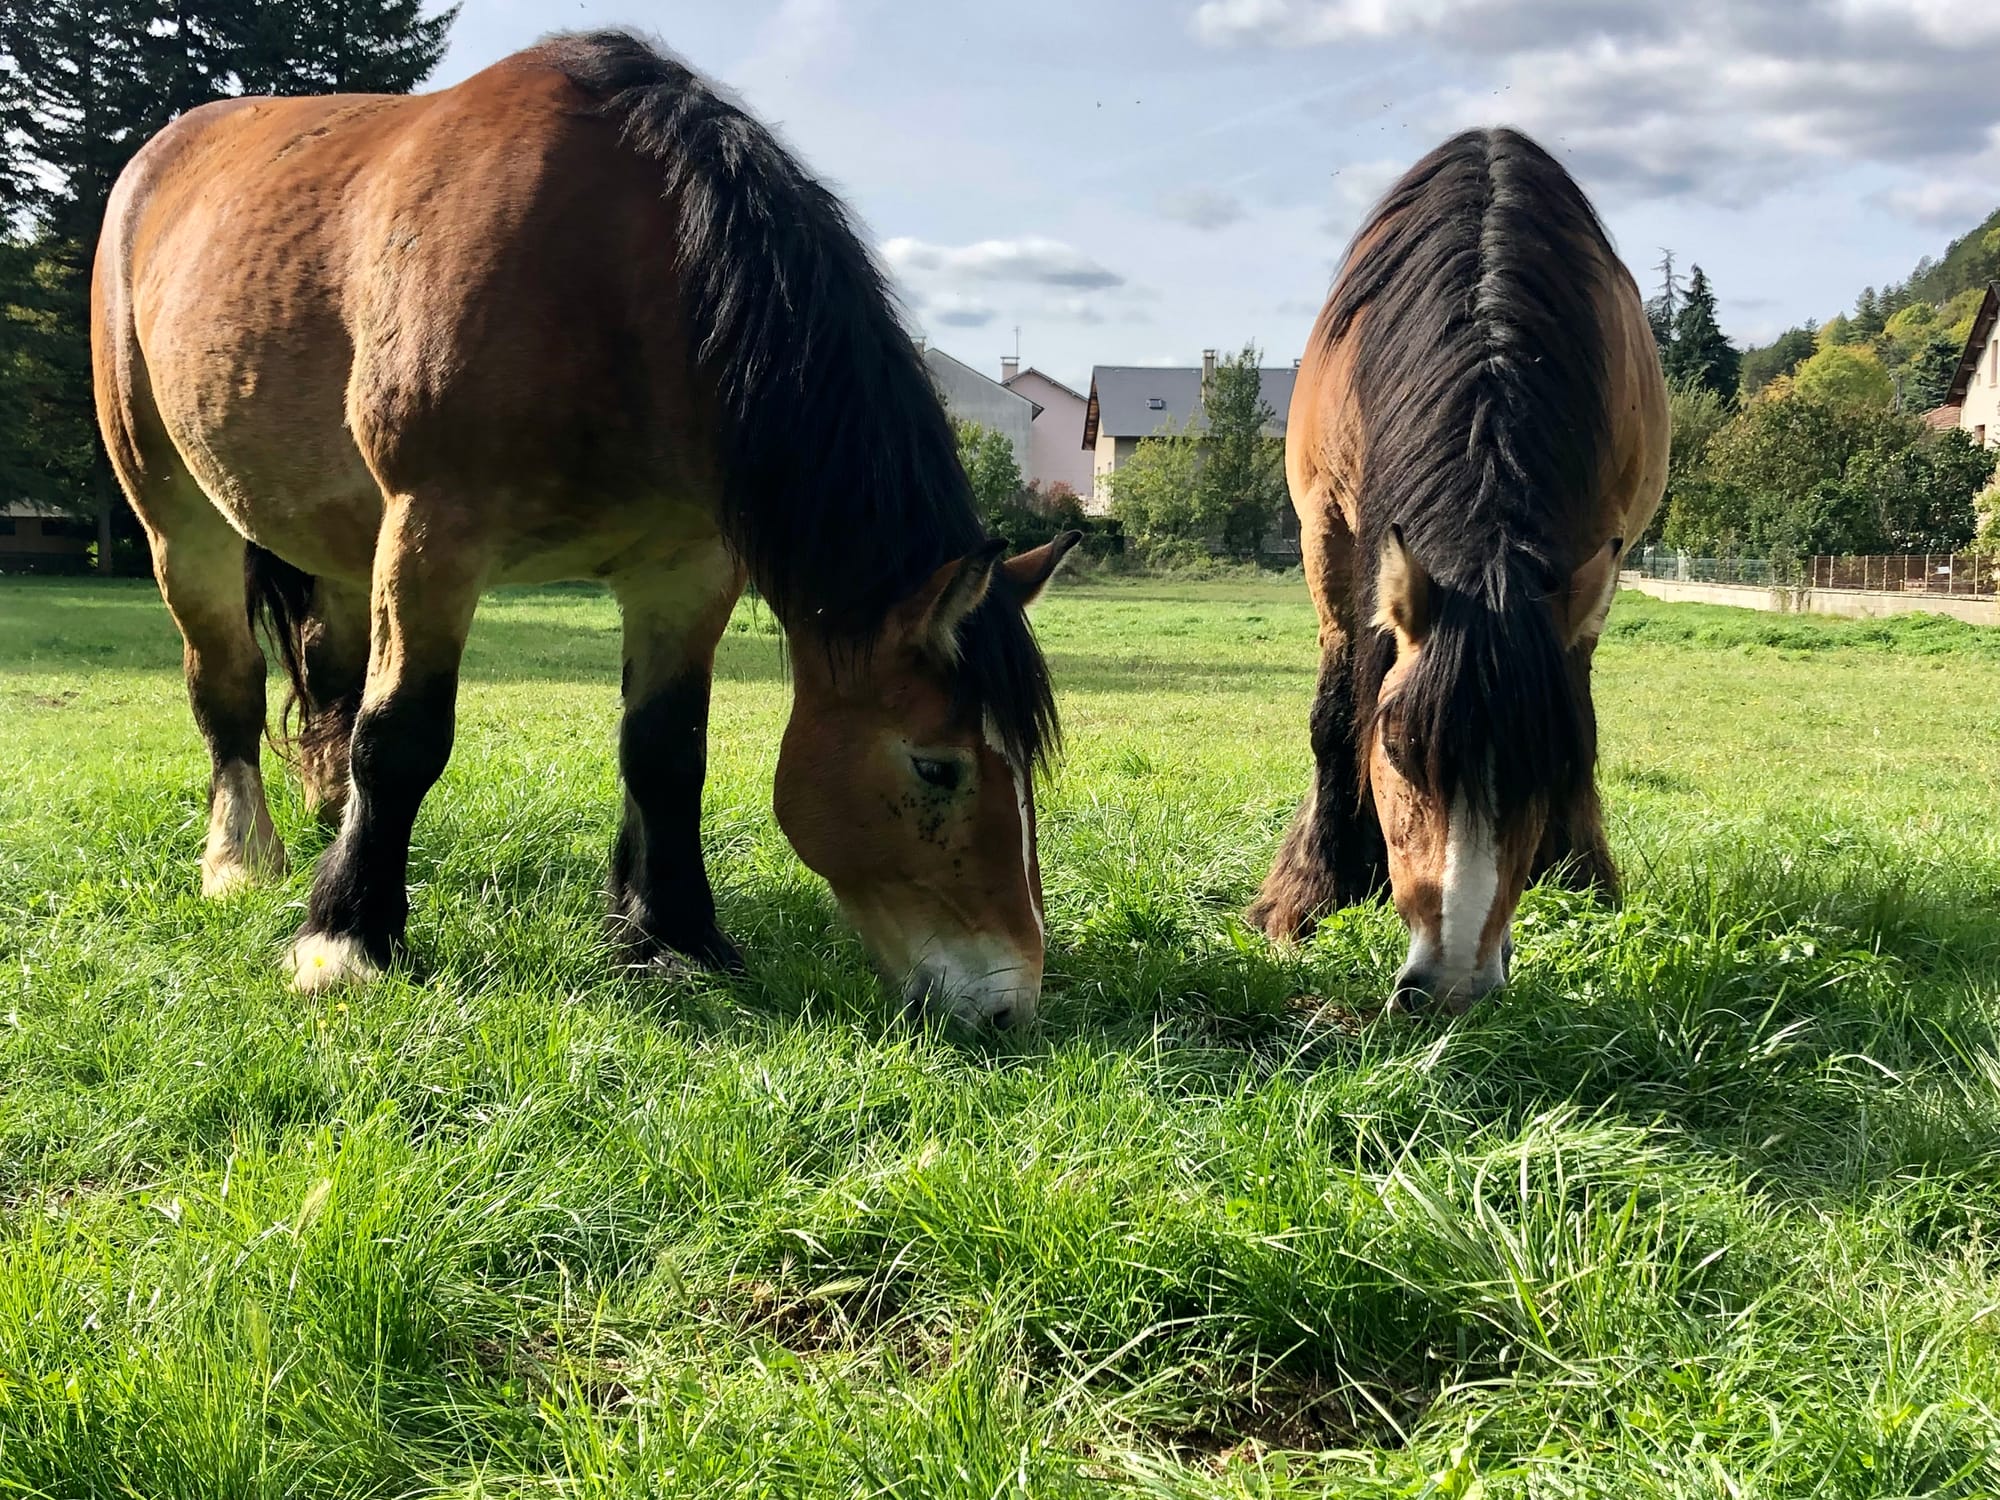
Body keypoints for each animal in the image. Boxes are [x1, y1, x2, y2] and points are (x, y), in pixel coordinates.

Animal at [94, 29, 1080, 1032]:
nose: (1007, 1001)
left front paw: (674, 936)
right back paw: (243, 858)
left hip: (340, 544)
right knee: (228, 684)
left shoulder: (686, 569)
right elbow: (402, 735)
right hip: (179, 517)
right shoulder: (433, 536)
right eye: (936, 769)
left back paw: (334, 822)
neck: (613, 274)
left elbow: (667, 752)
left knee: (331, 682)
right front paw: (347, 939)